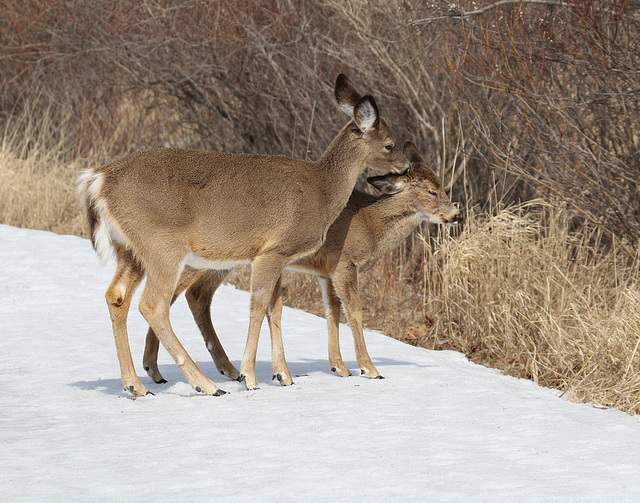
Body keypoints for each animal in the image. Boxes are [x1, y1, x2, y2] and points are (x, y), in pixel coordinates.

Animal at [76, 76, 404, 398]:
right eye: (389, 144)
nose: (405, 166)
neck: (322, 190)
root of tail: (98, 180)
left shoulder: (275, 256)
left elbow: (274, 308)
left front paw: (281, 375)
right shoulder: (275, 250)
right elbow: (258, 306)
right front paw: (250, 377)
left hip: (129, 250)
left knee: (117, 296)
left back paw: (136, 385)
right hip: (162, 246)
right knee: (153, 304)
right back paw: (205, 385)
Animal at [141, 142, 460, 386]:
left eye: (443, 186)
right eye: (432, 191)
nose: (455, 215)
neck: (371, 224)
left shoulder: (325, 271)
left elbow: (332, 313)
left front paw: (339, 367)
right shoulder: (344, 262)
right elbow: (355, 312)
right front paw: (369, 368)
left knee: (195, 295)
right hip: (203, 258)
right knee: (170, 296)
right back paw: (155, 369)